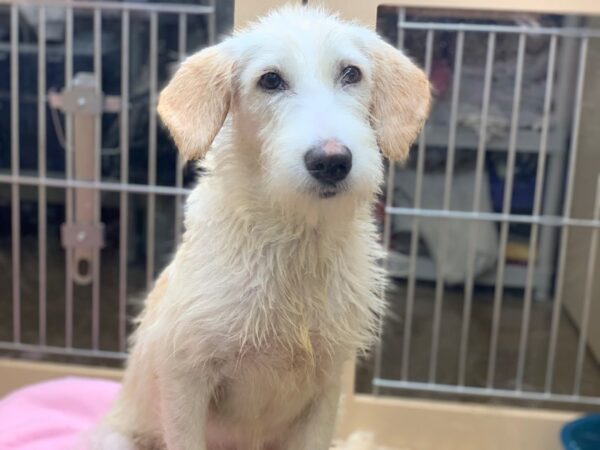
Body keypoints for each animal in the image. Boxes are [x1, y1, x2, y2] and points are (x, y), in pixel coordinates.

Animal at [92, 6, 432, 450]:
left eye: (351, 73)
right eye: (270, 80)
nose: (331, 161)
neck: (295, 243)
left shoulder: (326, 388)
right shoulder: (185, 378)